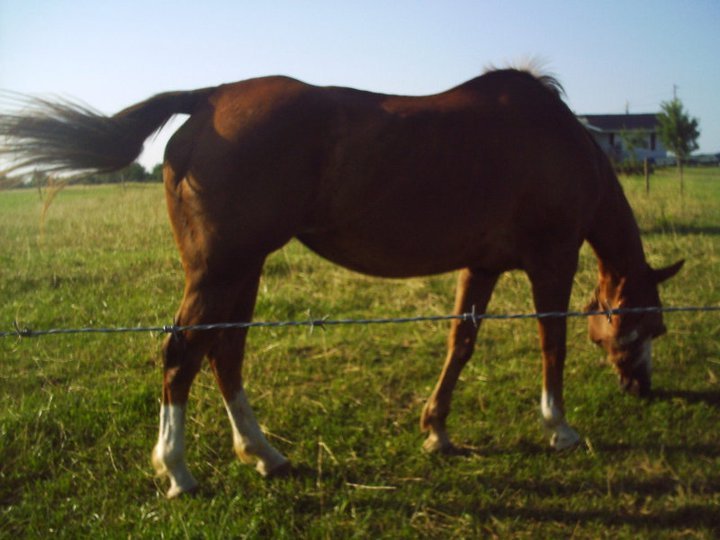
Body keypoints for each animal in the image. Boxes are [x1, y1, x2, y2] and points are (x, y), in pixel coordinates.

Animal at [0, 68, 683, 498]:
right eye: (649, 325)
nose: (643, 389)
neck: (562, 141)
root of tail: (210, 98)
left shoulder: (480, 266)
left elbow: (460, 344)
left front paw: (436, 430)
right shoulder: (552, 260)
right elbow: (552, 344)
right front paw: (559, 428)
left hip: (243, 270)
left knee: (224, 353)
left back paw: (264, 455)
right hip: (221, 270)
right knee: (181, 352)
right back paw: (178, 471)